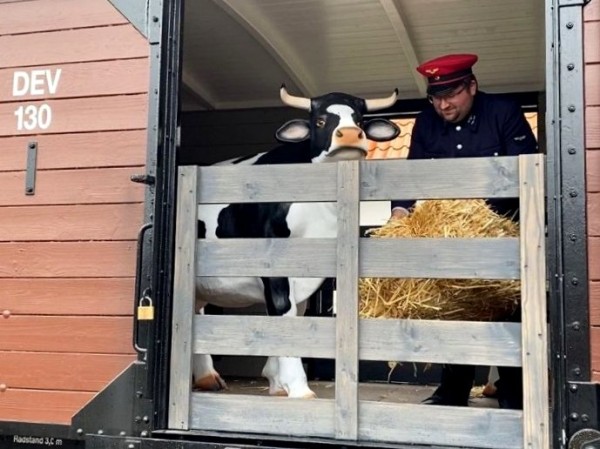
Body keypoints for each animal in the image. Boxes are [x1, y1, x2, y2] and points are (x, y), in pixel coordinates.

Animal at [195, 86, 398, 398]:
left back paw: (207, 378)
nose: (351, 134)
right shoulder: (274, 264)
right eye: (320, 121)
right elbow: (282, 311)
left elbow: (295, 317)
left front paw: (278, 383)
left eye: (360, 120)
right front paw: (298, 388)